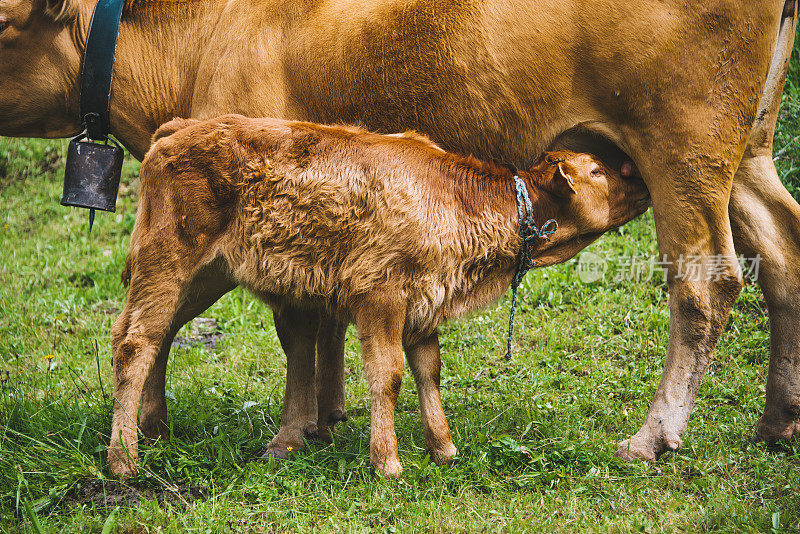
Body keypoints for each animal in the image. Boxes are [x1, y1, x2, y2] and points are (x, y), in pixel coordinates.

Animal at [111, 114, 648, 478]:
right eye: (596, 172)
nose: (637, 176)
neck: (456, 200)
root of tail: (181, 128)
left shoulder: (427, 303)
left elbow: (428, 371)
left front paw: (443, 448)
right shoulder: (381, 297)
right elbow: (387, 375)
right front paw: (387, 461)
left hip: (206, 276)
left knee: (160, 337)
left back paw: (154, 431)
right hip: (167, 262)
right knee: (134, 343)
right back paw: (124, 459)